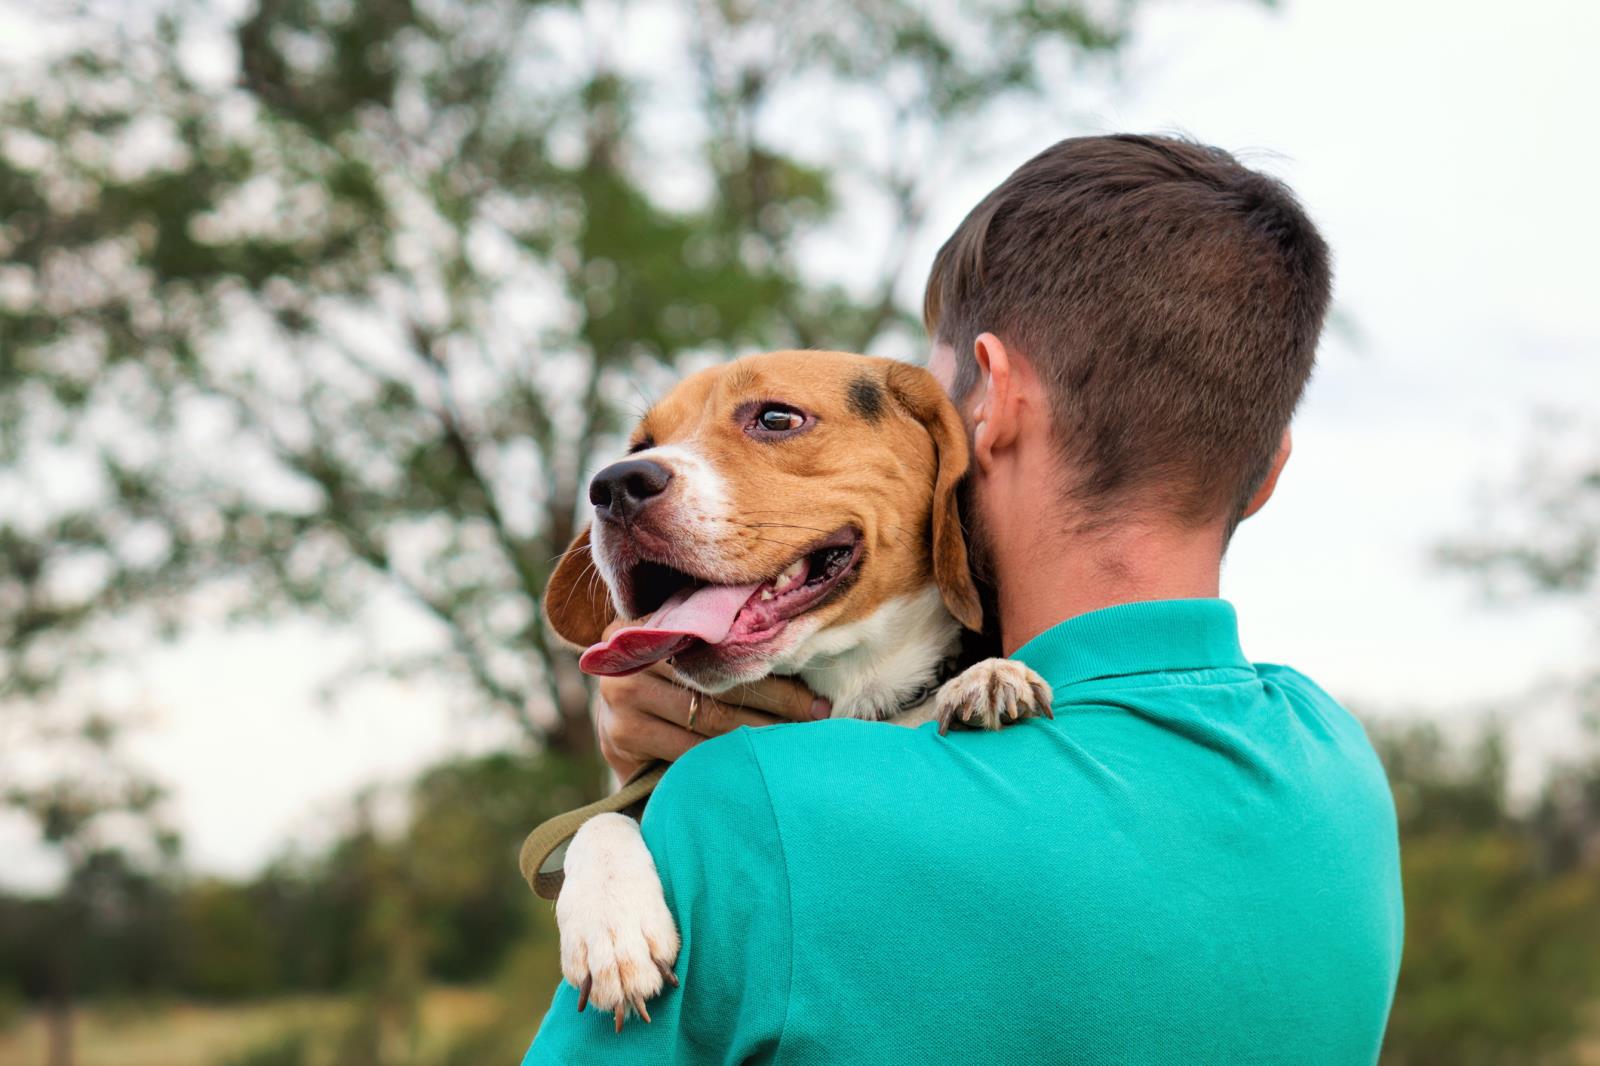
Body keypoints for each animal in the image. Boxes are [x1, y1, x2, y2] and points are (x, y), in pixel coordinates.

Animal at [544, 352, 1056, 1024]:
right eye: (640, 446)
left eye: (776, 418)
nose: (612, 487)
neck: (852, 691)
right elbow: (599, 820)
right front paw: (609, 924)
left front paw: (989, 675)